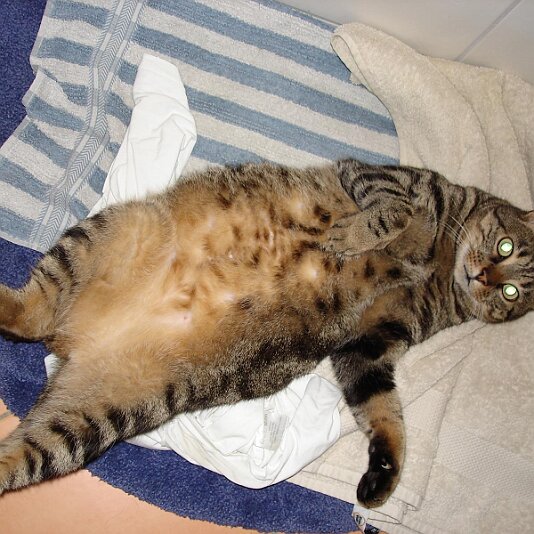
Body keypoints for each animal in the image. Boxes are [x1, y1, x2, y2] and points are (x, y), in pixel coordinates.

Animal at [0, 159, 533, 508]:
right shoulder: (383, 176)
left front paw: (384, 476)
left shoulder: (369, 346)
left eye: (511, 293)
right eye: (505, 246)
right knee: (34, 312)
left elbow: (386, 414)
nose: (485, 277)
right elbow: (397, 212)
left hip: (95, 418)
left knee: (23, 451)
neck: (444, 270)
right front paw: (359, 236)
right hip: (111, 230)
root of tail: (72, 340)